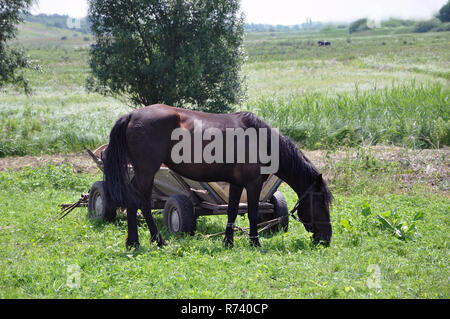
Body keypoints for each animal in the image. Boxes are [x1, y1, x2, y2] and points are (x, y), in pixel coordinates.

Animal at [103, 104, 332, 249]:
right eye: (320, 202)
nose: (326, 239)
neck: (260, 139)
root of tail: (131, 116)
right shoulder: (253, 183)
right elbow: (253, 213)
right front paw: (255, 242)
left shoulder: (237, 184)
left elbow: (232, 212)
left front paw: (228, 242)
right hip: (146, 171)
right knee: (138, 201)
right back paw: (144, 241)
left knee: (139, 201)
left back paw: (147, 240)